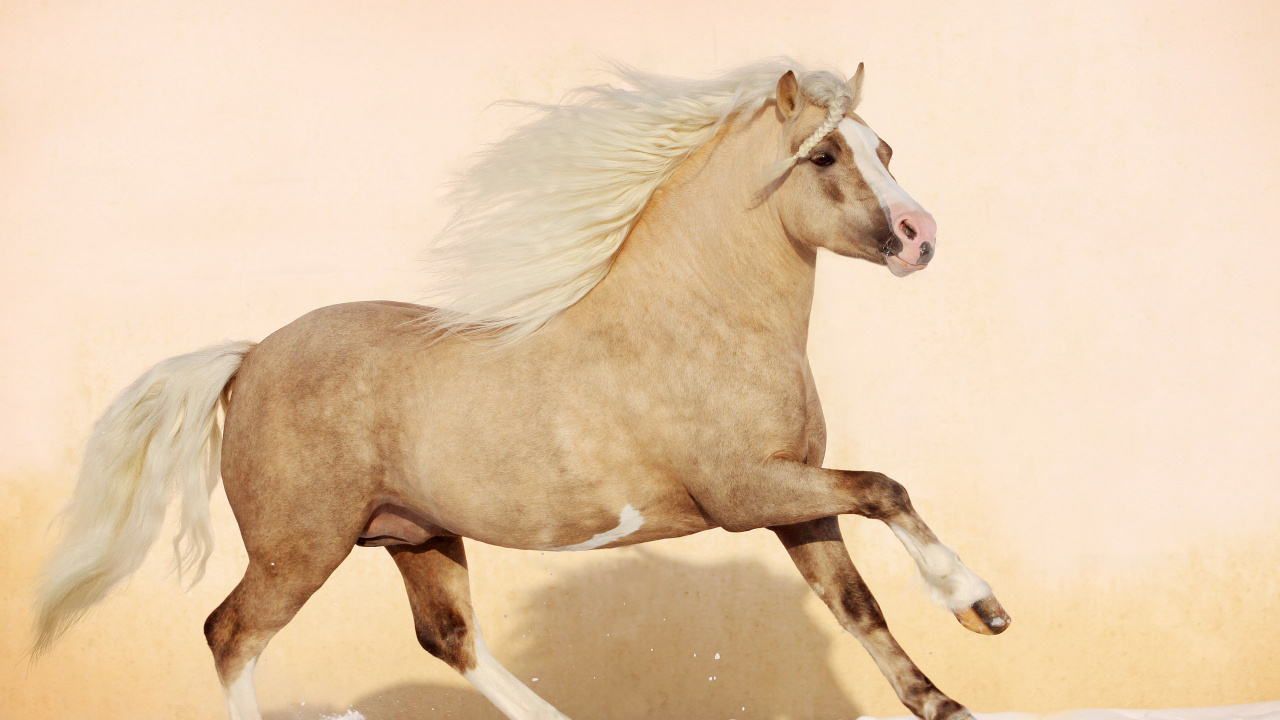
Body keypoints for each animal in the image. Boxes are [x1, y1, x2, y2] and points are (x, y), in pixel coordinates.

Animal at [33, 60, 1010, 720]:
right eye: (823, 156)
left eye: (885, 147)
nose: (920, 236)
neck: (701, 322)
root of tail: (250, 356)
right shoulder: (747, 493)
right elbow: (886, 488)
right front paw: (979, 605)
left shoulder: (792, 499)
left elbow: (857, 602)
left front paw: (952, 690)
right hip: (298, 549)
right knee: (232, 634)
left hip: (416, 536)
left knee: (448, 638)